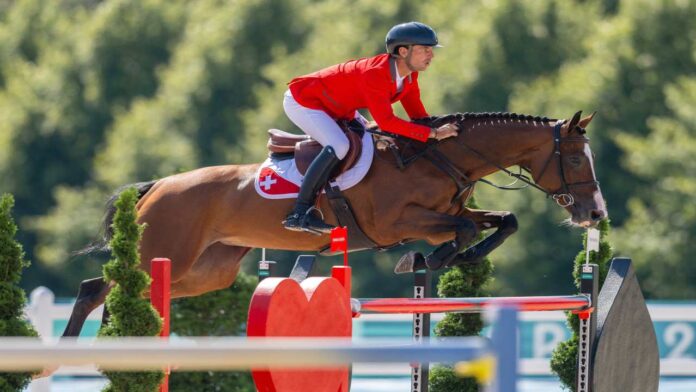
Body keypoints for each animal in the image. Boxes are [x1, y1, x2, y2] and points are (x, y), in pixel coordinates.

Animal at [64, 110, 608, 336]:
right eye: (575, 160)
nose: (595, 214)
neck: (440, 157)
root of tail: (157, 186)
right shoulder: (398, 222)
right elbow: (467, 230)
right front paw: (426, 260)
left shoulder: (443, 216)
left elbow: (500, 221)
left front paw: (449, 259)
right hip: (167, 252)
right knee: (98, 288)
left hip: (205, 271)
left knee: (124, 291)